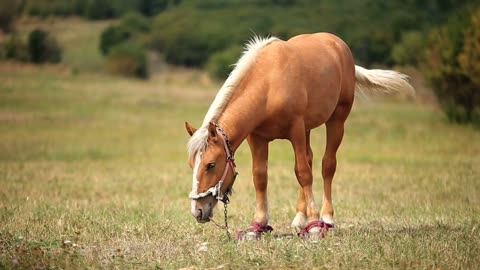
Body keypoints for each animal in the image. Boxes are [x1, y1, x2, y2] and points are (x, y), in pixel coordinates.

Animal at [184, 33, 412, 238]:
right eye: (191, 164)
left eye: (211, 164)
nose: (197, 211)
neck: (269, 84)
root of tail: (338, 45)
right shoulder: (257, 138)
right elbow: (260, 176)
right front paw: (258, 225)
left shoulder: (296, 130)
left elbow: (303, 173)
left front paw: (315, 225)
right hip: (308, 129)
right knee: (309, 159)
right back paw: (299, 219)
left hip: (337, 119)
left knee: (327, 165)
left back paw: (326, 218)